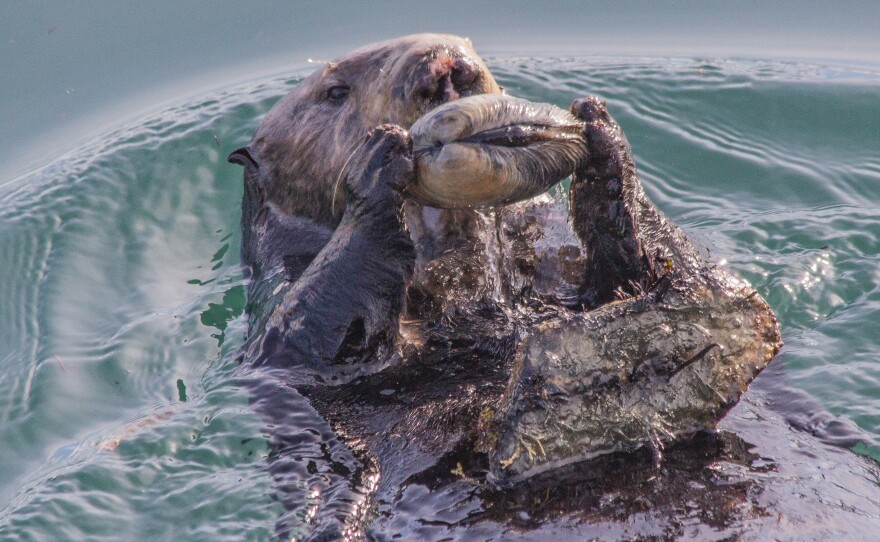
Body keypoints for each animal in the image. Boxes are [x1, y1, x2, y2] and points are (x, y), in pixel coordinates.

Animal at [227, 34, 794, 538]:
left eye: (467, 45)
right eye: (335, 92)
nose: (442, 64)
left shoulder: (555, 258)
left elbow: (628, 276)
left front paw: (601, 136)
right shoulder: (281, 314)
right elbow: (312, 342)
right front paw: (378, 159)